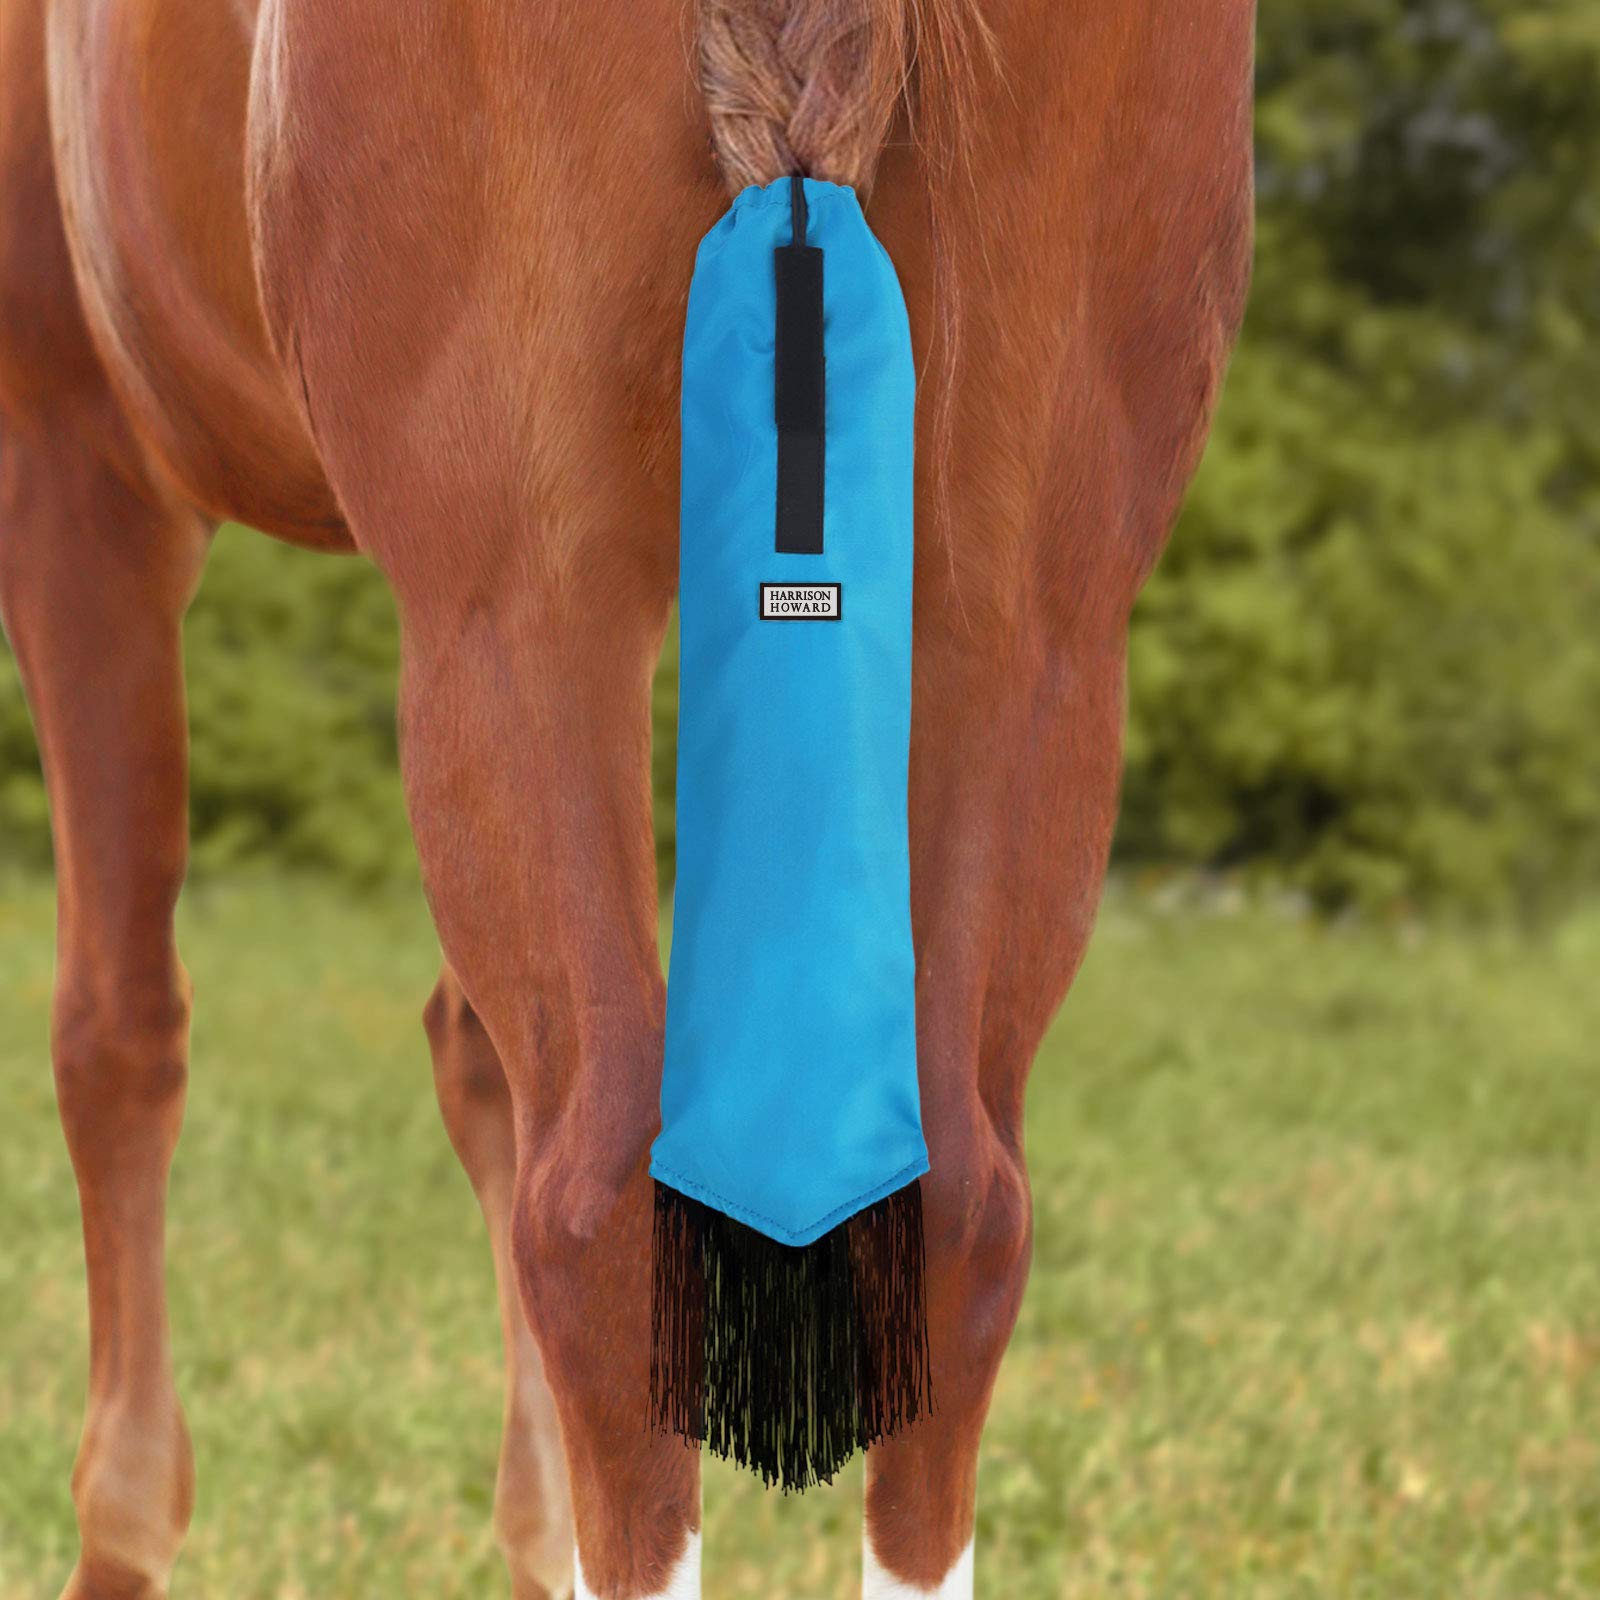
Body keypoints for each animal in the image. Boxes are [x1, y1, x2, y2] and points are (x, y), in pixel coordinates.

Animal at [0, 0, 1254, 1594]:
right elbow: (470, 1056)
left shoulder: (73, 461)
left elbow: (114, 1035)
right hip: (1027, 621)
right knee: (956, 1209)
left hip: (514, 604)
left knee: (593, 1208)